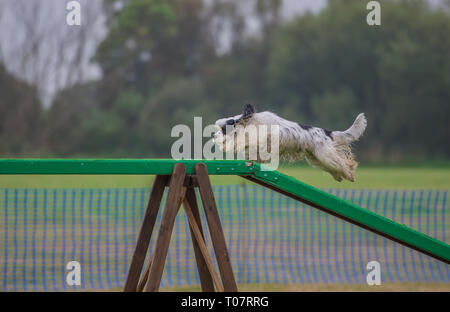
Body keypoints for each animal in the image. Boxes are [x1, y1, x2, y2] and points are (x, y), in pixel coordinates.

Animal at [214, 103, 366, 182]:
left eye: (222, 129)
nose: (214, 136)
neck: (251, 122)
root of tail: (326, 132)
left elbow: (242, 141)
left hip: (325, 155)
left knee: (344, 163)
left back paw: (350, 174)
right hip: (316, 158)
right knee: (335, 166)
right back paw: (339, 176)